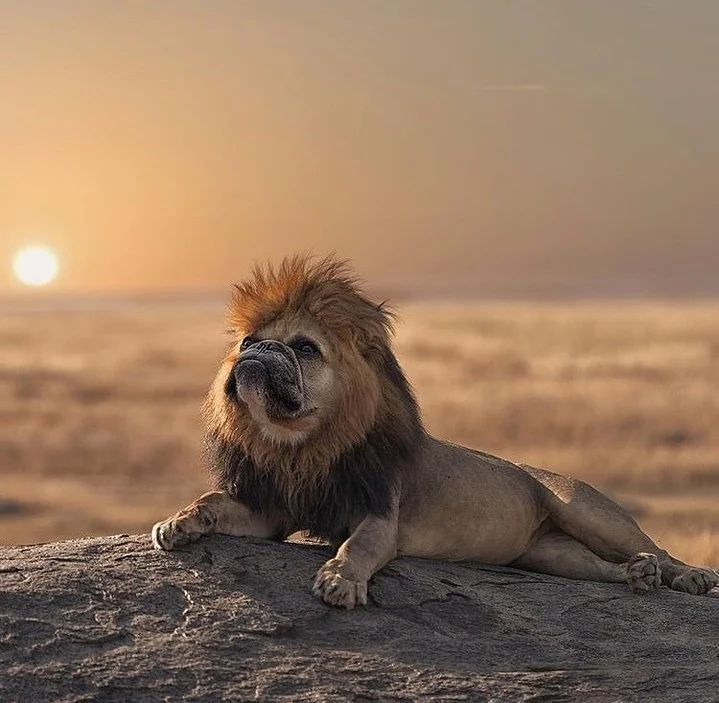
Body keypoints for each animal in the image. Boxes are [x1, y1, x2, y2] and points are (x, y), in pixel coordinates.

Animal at [152, 255, 718, 608]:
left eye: (305, 348)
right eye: (249, 340)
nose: (257, 351)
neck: (300, 443)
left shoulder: (380, 513)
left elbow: (357, 548)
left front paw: (338, 581)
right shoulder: (272, 510)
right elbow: (212, 501)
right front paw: (177, 524)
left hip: (586, 511)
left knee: (656, 549)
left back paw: (689, 575)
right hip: (549, 554)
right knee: (602, 569)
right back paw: (636, 576)